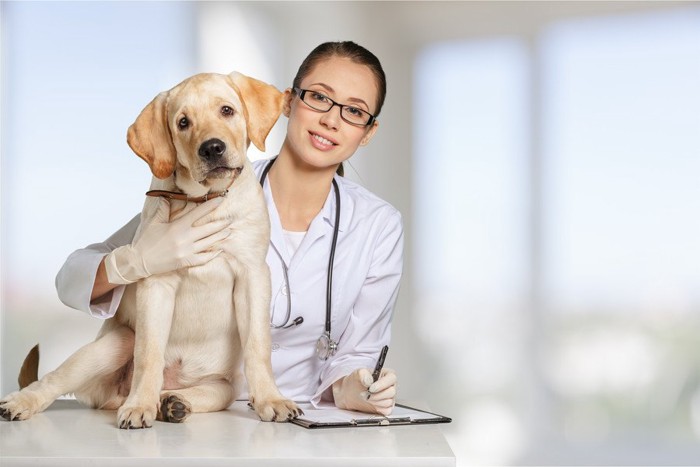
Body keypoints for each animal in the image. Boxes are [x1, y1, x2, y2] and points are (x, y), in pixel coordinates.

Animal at [0, 72, 298, 428]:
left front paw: (270, 399)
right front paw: (139, 404)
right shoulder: (156, 284)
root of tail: (110, 398)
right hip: (115, 344)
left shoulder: (252, 274)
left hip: (224, 387)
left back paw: (172, 402)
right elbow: (149, 353)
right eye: (183, 122)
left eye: (227, 110)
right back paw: (25, 402)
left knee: (203, 392)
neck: (203, 201)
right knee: (53, 379)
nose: (212, 148)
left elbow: (258, 346)